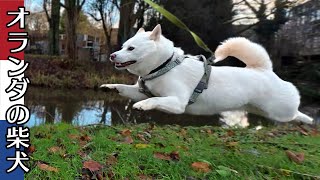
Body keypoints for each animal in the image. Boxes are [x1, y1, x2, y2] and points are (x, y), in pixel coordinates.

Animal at [101, 24, 314, 124]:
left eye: (130, 48)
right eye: (122, 46)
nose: (112, 55)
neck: (164, 67)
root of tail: (264, 70)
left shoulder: (178, 103)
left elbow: (154, 100)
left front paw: (143, 106)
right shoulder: (139, 92)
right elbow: (124, 88)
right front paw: (110, 87)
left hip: (280, 111)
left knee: (295, 113)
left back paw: (307, 119)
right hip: (262, 111)